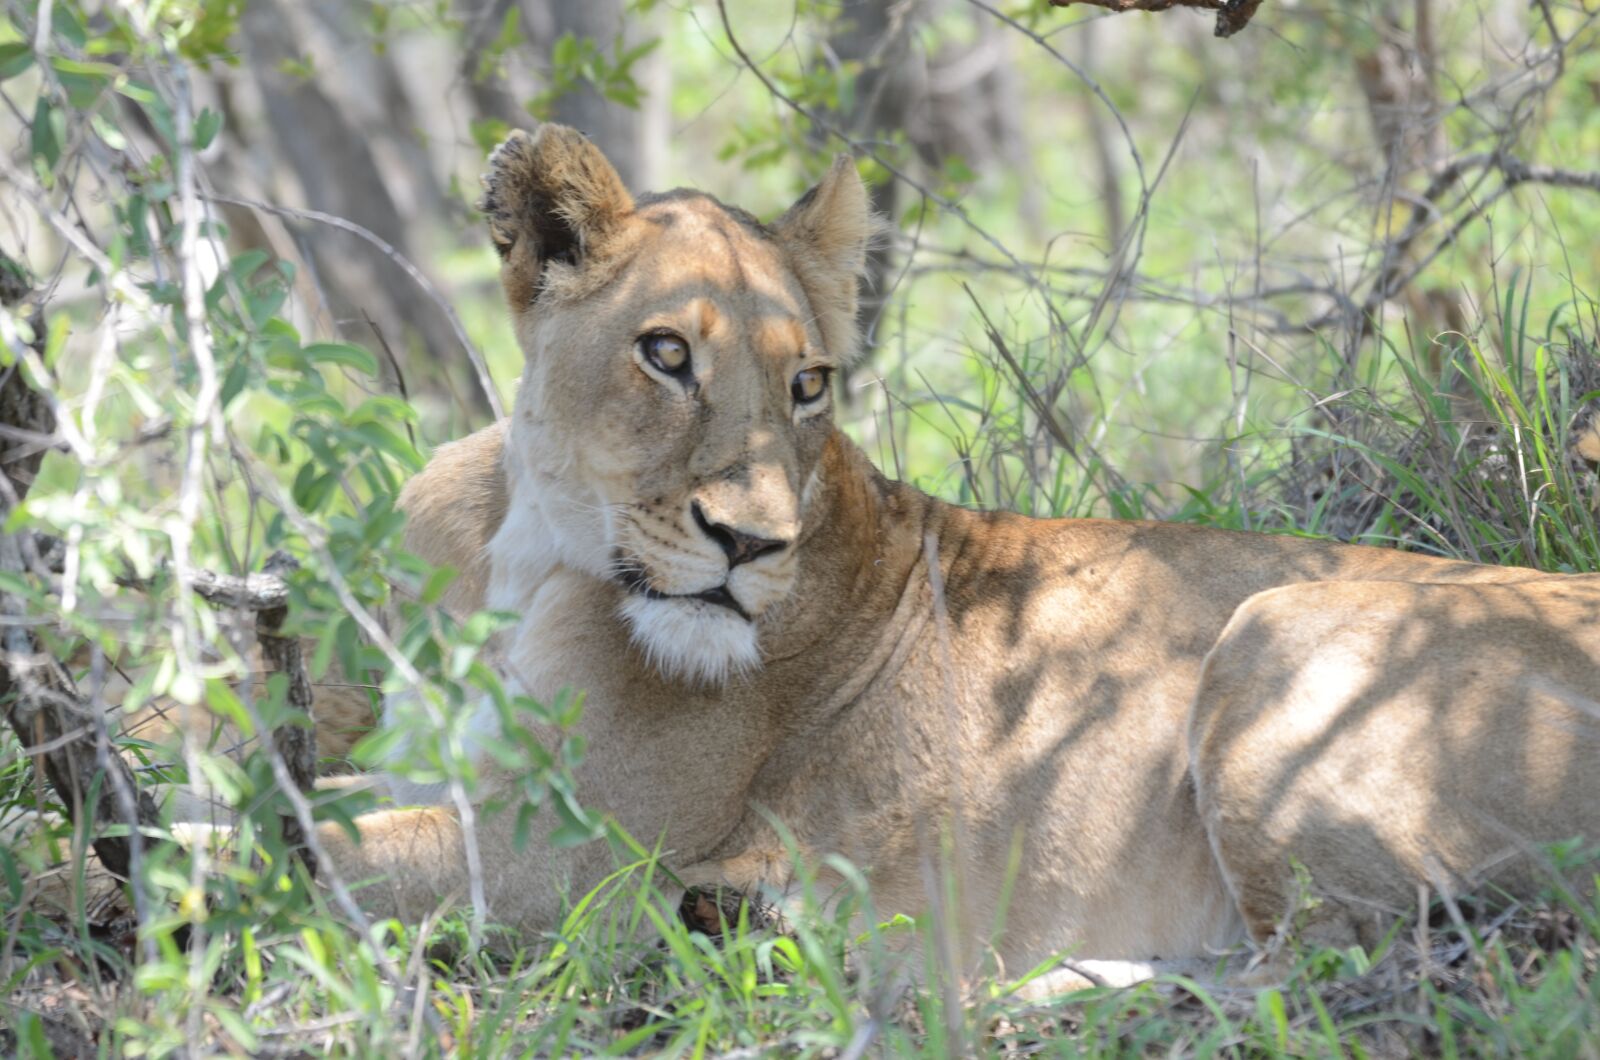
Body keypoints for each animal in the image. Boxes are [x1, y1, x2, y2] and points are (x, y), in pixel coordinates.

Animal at [313, 124, 1600, 990]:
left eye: (808, 383)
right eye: (666, 352)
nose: (752, 544)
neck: (527, 546)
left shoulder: (577, 855)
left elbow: (321, 853)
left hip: (1276, 633)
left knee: (1349, 958)